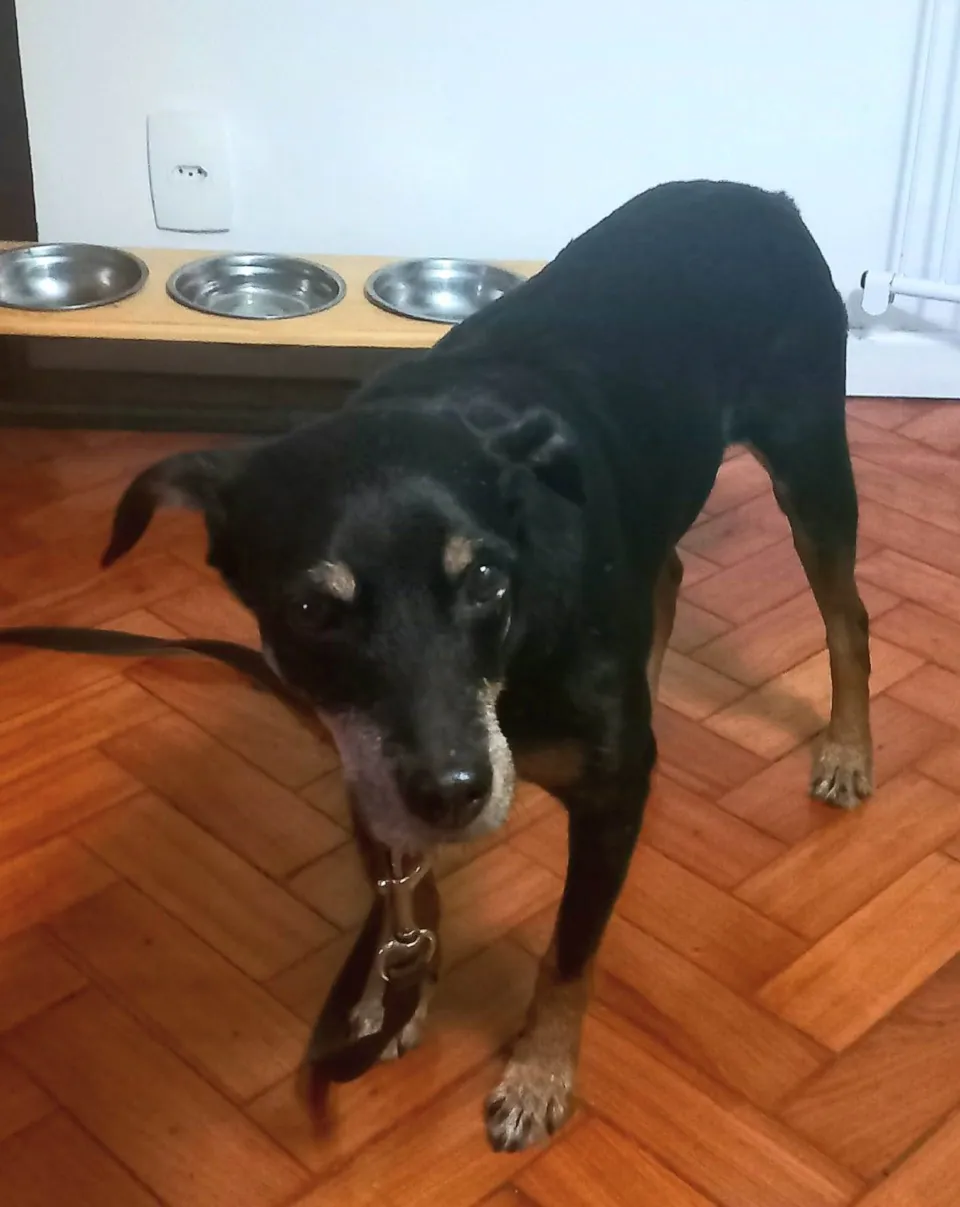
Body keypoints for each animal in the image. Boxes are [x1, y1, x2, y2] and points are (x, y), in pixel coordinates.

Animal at [103, 179, 872, 1152]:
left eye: (483, 580)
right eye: (311, 611)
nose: (454, 791)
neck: (517, 659)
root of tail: (763, 196)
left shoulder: (598, 797)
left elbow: (570, 951)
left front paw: (538, 1075)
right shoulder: (371, 770)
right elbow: (410, 889)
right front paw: (393, 994)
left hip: (809, 455)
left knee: (847, 618)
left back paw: (848, 752)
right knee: (668, 571)